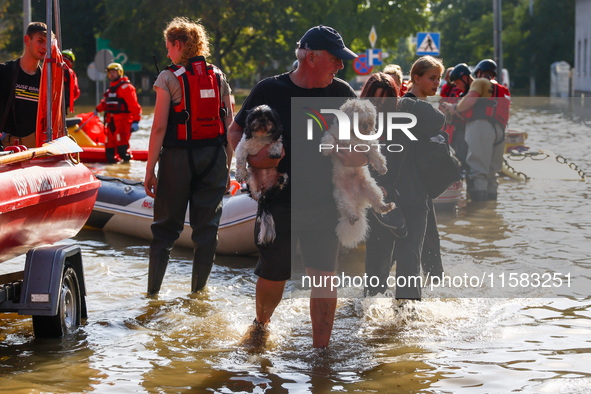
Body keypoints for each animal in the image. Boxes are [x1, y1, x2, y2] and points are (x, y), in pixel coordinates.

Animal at [235, 104, 288, 246]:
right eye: (255, 116)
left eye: (269, 117)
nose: (262, 119)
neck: (261, 136)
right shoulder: (242, 147)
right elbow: (241, 160)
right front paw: (240, 174)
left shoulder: (278, 141)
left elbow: (277, 144)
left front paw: (274, 152)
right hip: (252, 178)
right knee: (255, 194)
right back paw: (259, 195)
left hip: (284, 175)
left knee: (280, 182)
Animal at [324, 98, 394, 248]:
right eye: (359, 117)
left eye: (370, 119)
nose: (367, 125)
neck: (353, 135)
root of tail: (358, 198)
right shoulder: (333, 134)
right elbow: (329, 138)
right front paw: (326, 149)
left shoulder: (369, 144)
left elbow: (376, 154)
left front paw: (381, 167)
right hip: (343, 197)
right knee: (348, 211)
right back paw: (353, 216)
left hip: (373, 188)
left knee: (377, 204)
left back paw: (386, 206)